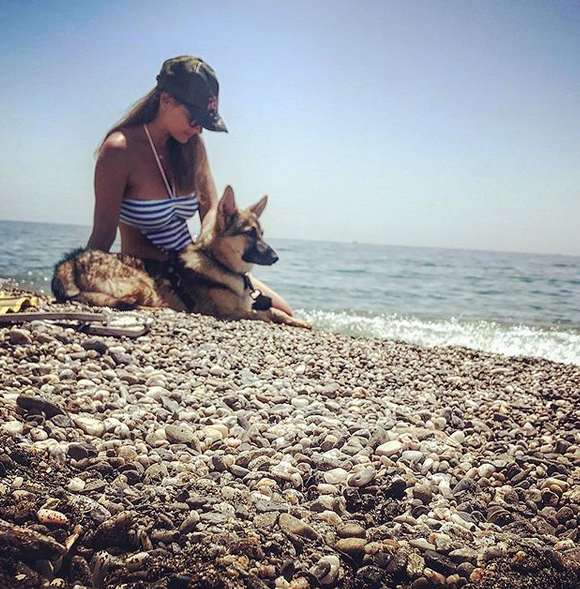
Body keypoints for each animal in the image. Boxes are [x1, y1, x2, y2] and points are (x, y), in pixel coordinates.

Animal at [52, 185, 310, 326]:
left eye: (262, 234)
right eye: (250, 233)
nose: (276, 257)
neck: (220, 263)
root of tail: (68, 263)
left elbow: (274, 311)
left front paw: (299, 322)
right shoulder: (228, 312)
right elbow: (264, 313)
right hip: (143, 283)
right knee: (129, 303)